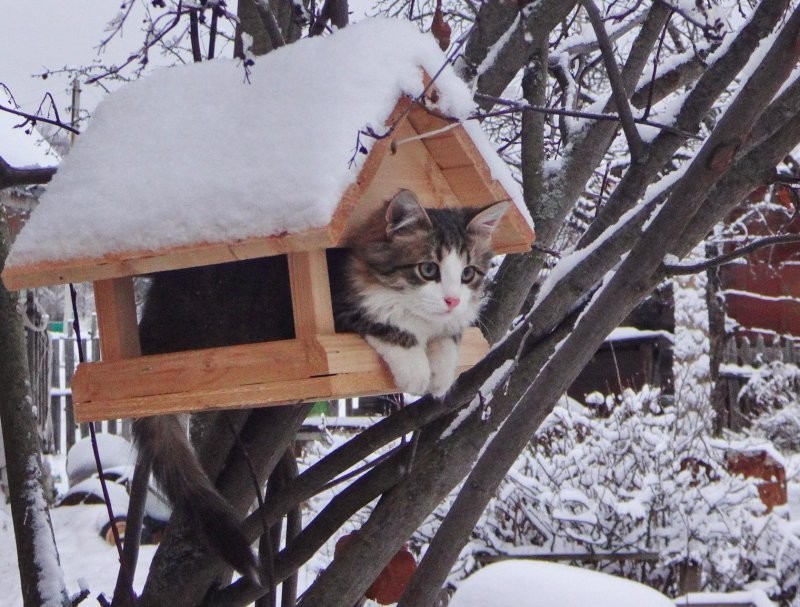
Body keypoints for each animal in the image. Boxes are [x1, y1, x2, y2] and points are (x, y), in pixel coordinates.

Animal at [131, 190, 506, 580]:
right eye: (428, 269)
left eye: (468, 274)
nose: (451, 300)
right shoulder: (343, 308)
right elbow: (390, 327)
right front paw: (416, 370)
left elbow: (447, 338)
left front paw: (442, 372)